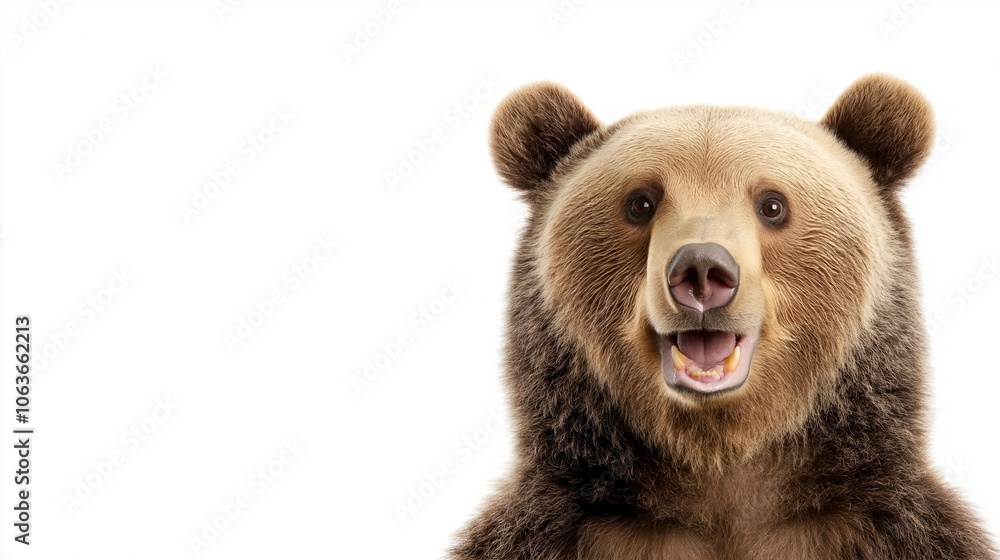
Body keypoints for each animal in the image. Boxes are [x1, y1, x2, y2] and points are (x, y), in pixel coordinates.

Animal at [450, 75, 996, 559]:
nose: (701, 270)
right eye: (640, 202)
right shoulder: (551, 530)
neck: (719, 464)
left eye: (773, 204)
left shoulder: (893, 527)